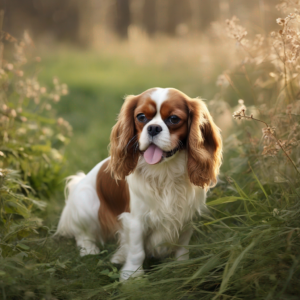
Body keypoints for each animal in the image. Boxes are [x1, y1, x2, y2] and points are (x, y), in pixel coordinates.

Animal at [55, 87, 221, 282]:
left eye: (174, 119)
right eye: (141, 117)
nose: (153, 128)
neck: (164, 171)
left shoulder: (186, 216)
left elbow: (182, 247)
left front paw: (182, 266)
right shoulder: (135, 220)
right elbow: (137, 251)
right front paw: (132, 277)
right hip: (86, 201)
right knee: (83, 235)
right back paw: (90, 249)